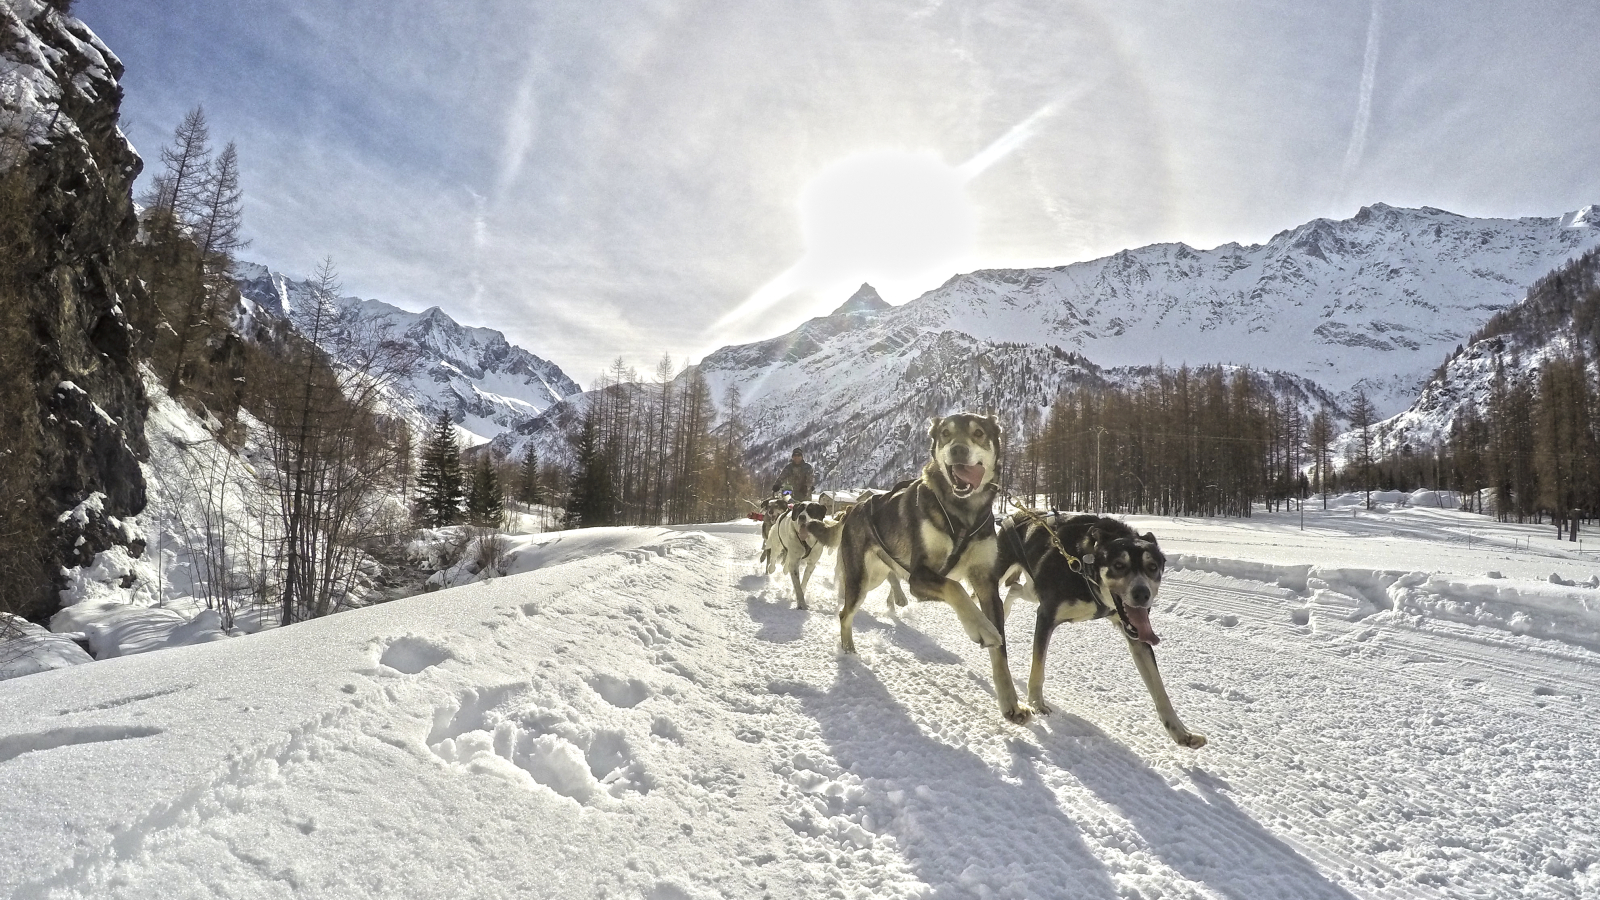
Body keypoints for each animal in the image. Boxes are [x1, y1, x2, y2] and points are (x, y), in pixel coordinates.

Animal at [992, 509, 1203, 746]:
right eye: (1119, 565)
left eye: (1152, 567)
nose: (1142, 594)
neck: (1084, 566)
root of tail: (1018, 514)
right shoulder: (1045, 616)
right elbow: (1038, 668)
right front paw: (1037, 703)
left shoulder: (1136, 635)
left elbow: (1159, 689)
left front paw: (1180, 731)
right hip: (998, 573)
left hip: (1032, 590)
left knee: (1014, 589)